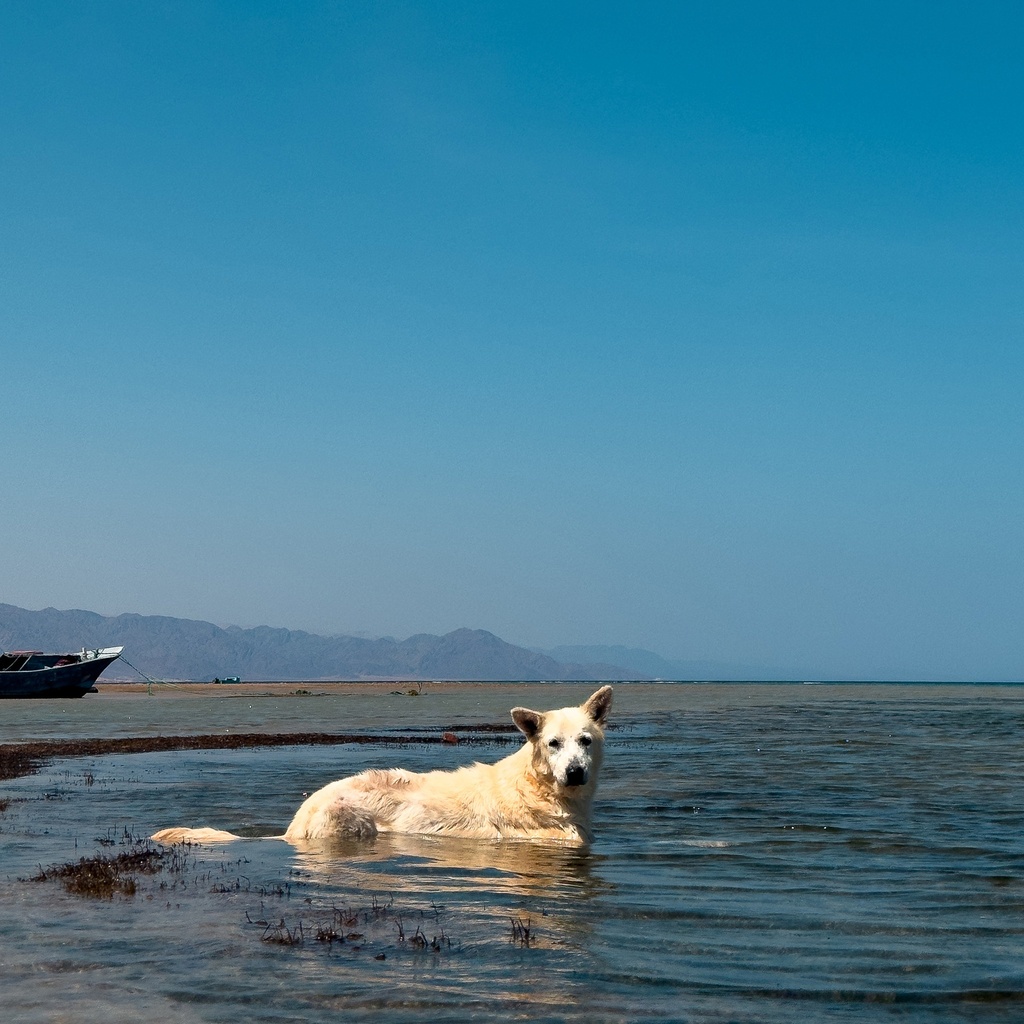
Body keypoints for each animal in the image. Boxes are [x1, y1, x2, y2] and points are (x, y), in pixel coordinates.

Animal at [152, 688, 610, 847]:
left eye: (585, 741)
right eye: (553, 744)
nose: (574, 772)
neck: (542, 788)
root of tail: (294, 825)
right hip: (351, 819)